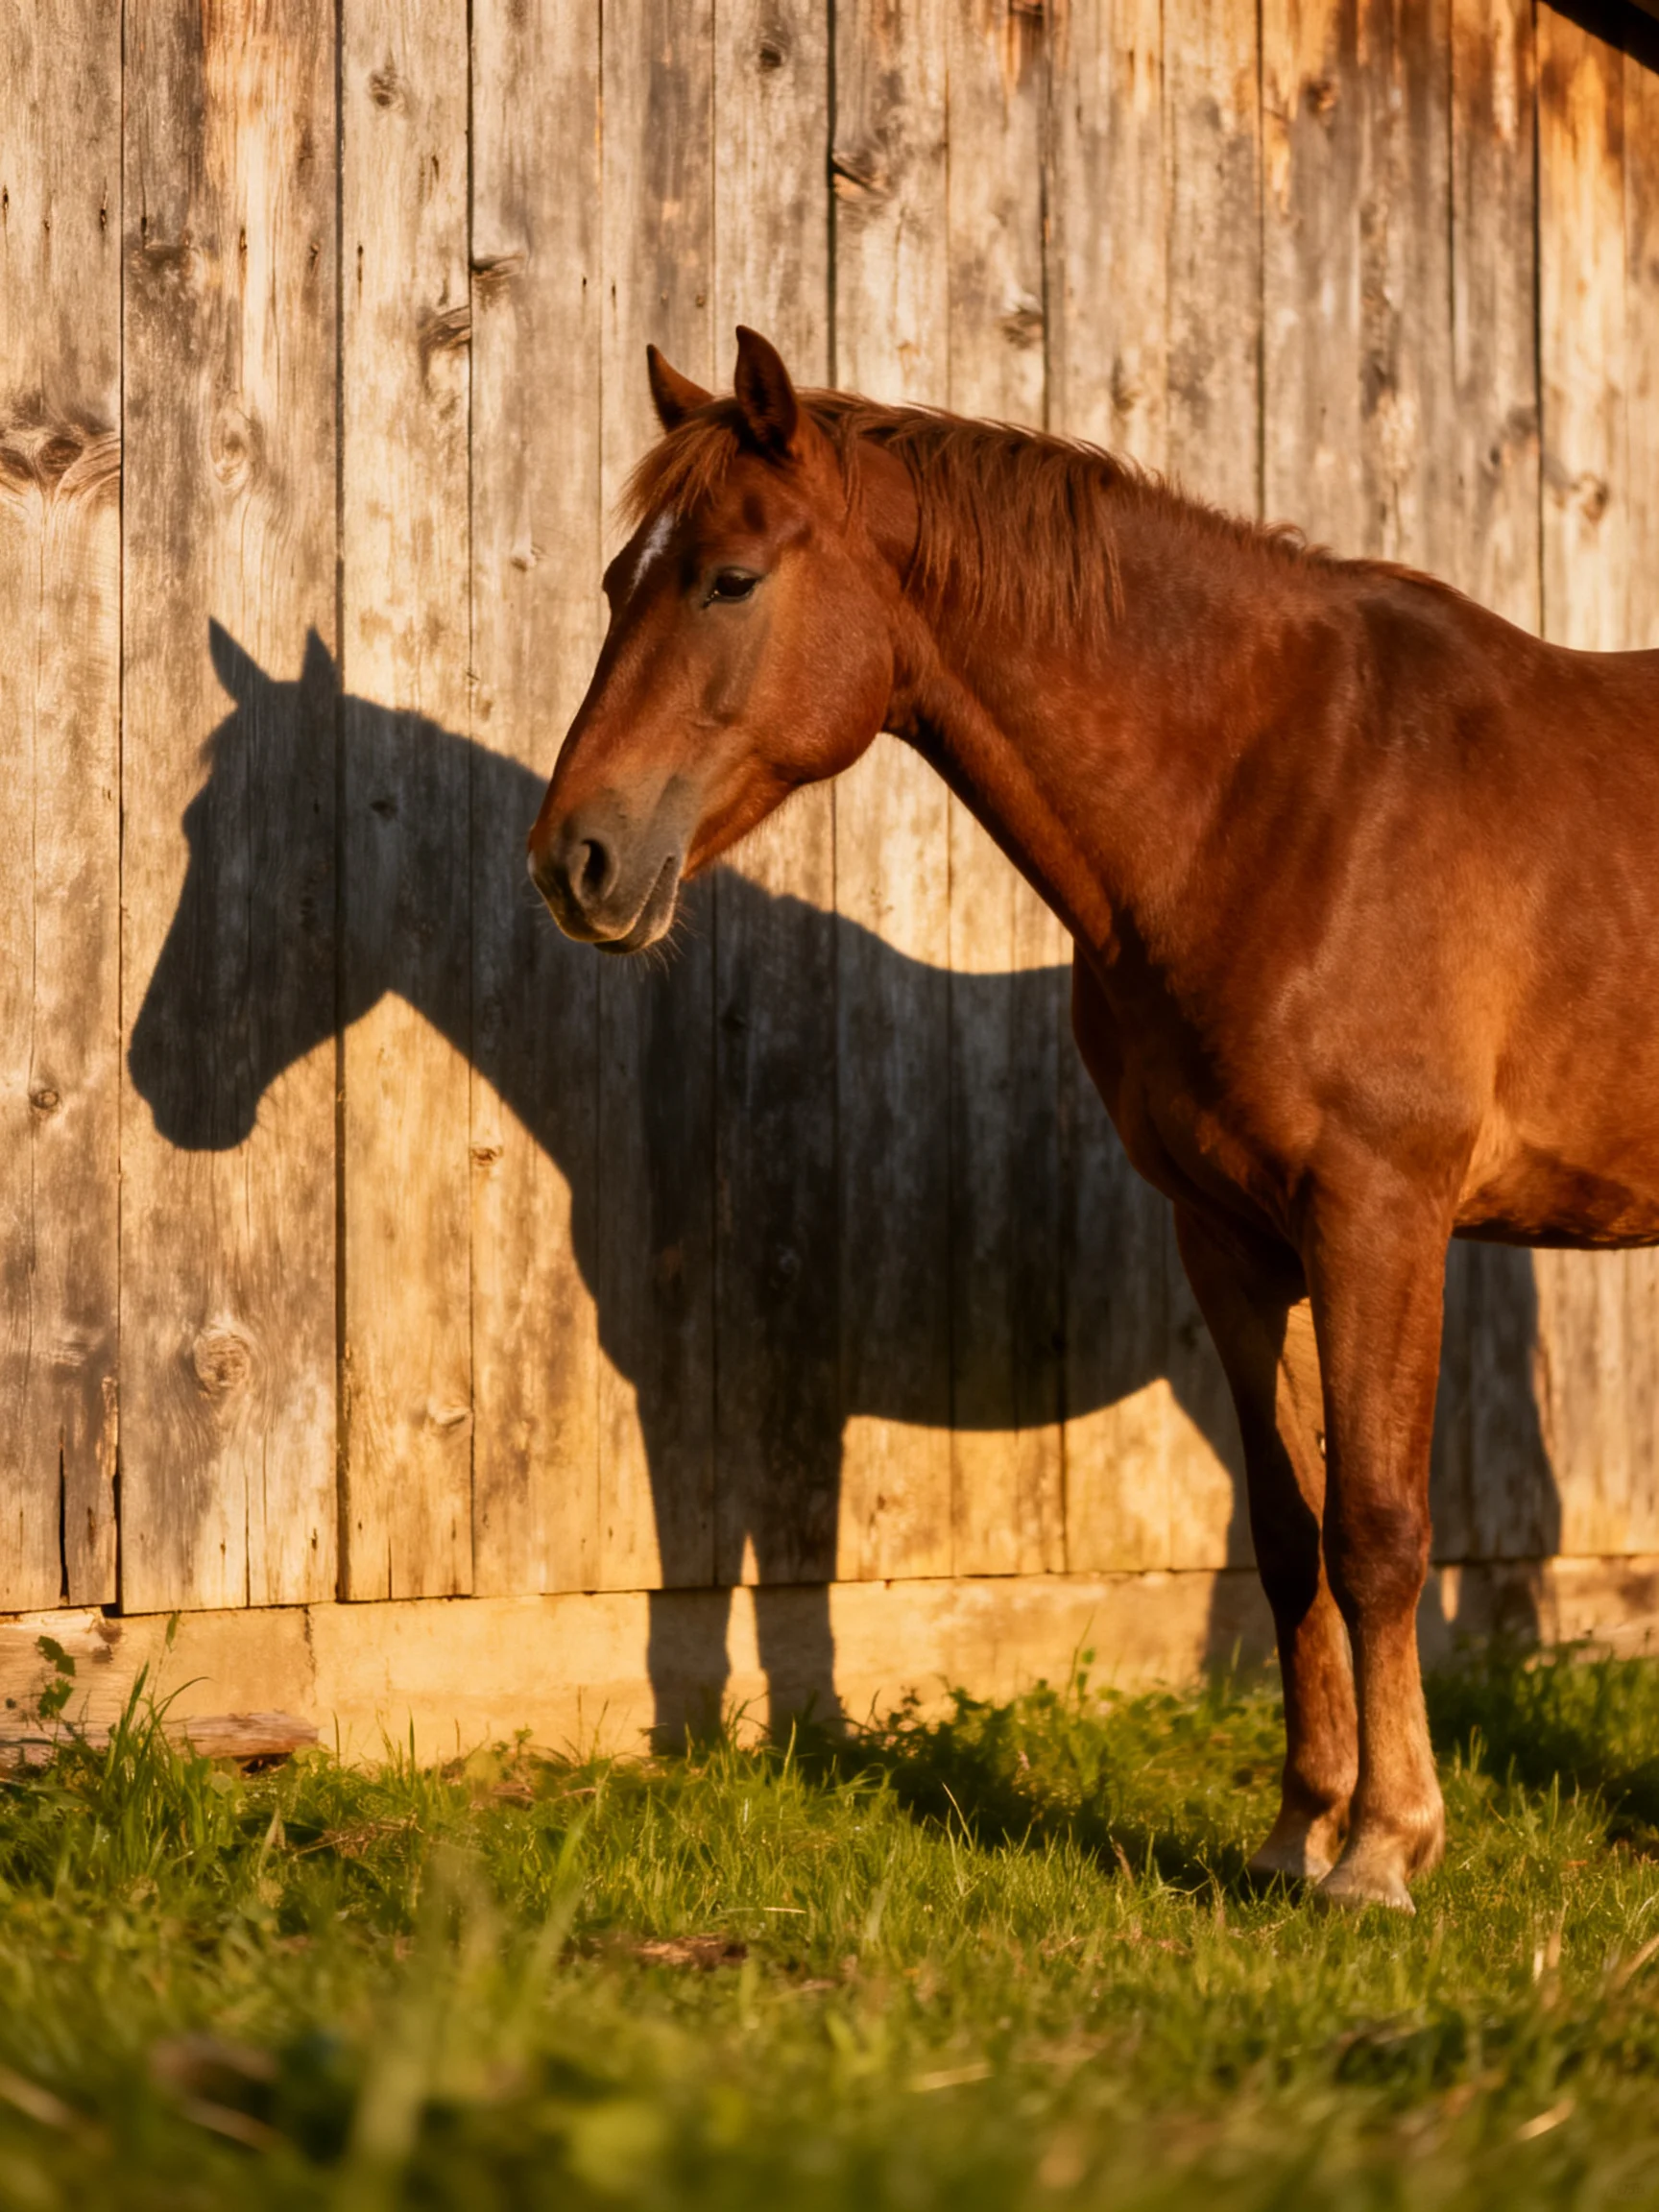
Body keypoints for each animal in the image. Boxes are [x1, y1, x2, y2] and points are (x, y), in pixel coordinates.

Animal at [526, 326, 1649, 1910]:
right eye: (621, 581)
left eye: (729, 580)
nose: (577, 859)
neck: (1283, 798)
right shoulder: (1233, 1239)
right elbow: (1290, 1536)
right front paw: (1299, 1831)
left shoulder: (1379, 1219)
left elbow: (1377, 1529)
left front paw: (1384, 1848)